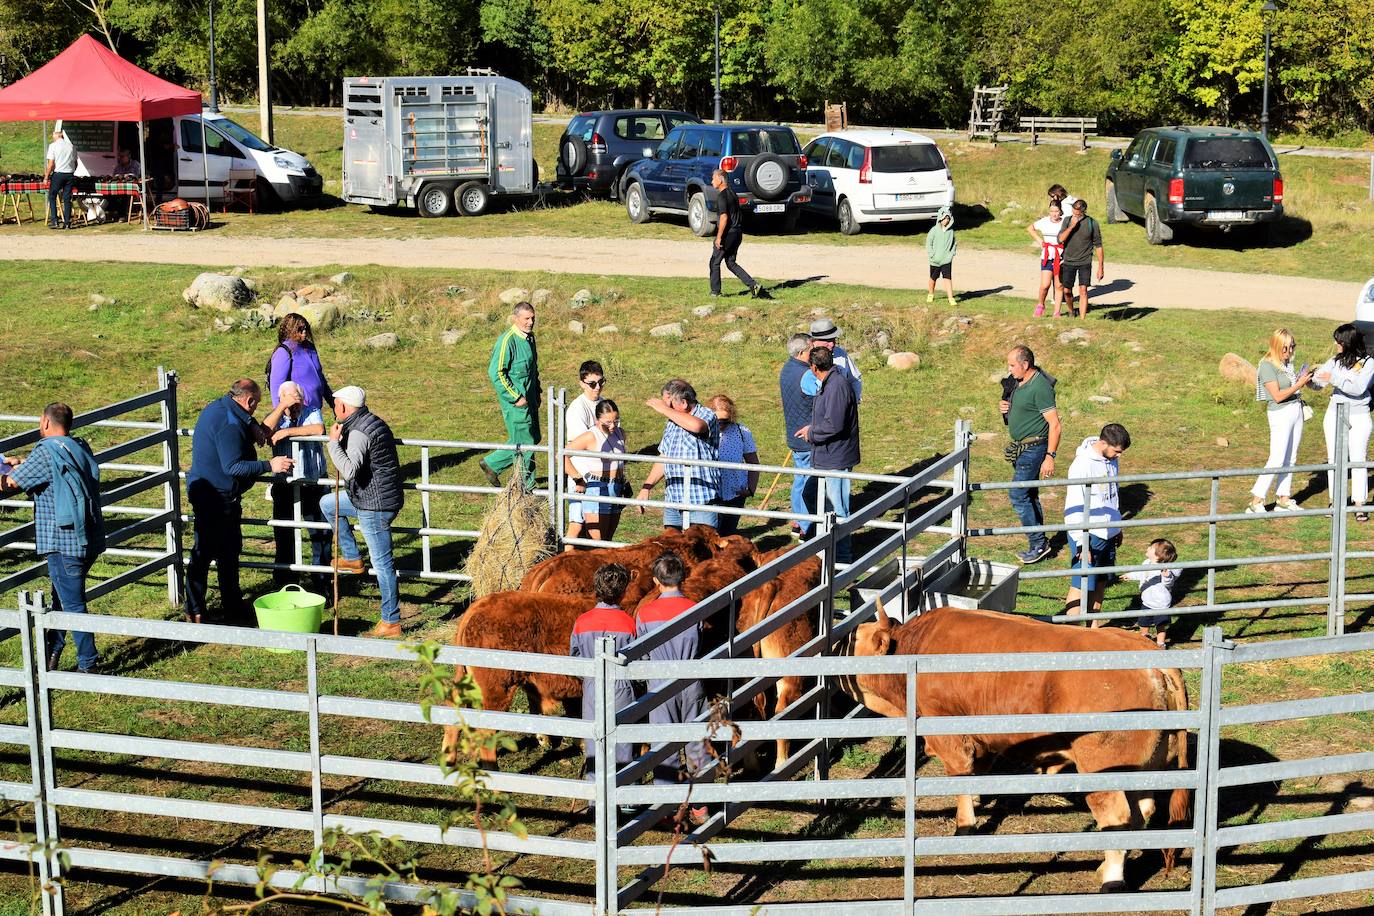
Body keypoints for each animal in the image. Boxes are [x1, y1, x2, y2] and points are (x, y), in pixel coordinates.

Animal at [846, 604, 1192, 889]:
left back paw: (1111, 880)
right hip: (1145, 767)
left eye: (853, 640)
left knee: (1117, 817)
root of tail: (1152, 659)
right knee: (1141, 812)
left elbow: (960, 775)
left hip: (1103, 770)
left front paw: (964, 826)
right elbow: (976, 771)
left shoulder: (947, 730)